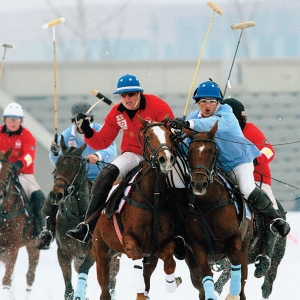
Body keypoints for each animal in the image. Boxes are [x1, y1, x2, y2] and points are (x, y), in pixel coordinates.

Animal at [49, 137, 119, 300]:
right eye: (58, 163)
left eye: (75, 167)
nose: (56, 195)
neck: (77, 214)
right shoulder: (63, 253)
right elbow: (68, 289)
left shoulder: (92, 253)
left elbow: (84, 271)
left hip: (114, 257)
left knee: (112, 281)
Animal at [92, 115, 180, 300]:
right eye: (148, 137)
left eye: (169, 135)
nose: (166, 159)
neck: (153, 199)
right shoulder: (130, 241)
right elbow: (137, 263)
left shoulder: (160, 246)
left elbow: (169, 262)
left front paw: (172, 283)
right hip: (101, 250)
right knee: (104, 290)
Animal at [183, 121, 253, 300]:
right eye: (189, 152)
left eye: (212, 152)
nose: (199, 184)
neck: (209, 204)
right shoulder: (198, 247)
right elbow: (205, 275)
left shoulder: (235, 239)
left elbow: (236, 263)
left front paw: (232, 293)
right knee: (198, 282)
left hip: (246, 243)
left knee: (242, 280)